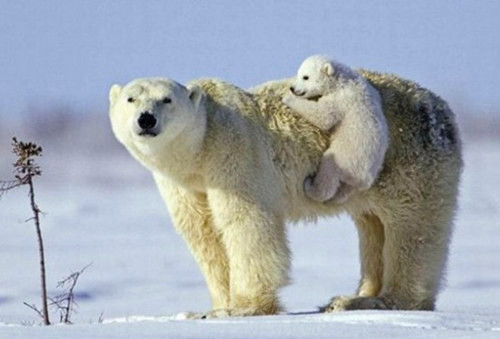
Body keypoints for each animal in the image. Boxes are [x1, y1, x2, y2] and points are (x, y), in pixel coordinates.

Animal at [108, 70, 460, 318]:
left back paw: (386, 300)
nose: (146, 119)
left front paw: (244, 307)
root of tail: (442, 107)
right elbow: (204, 234)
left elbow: (246, 224)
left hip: (407, 158)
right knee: (372, 225)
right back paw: (351, 298)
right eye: (131, 99)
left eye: (167, 99)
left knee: (411, 228)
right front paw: (211, 308)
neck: (199, 149)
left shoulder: (234, 153)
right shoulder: (184, 185)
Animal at [284, 55, 388, 202]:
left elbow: (324, 115)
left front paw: (287, 99)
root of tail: (365, 179)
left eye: (305, 77)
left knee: (329, 169)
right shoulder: (370, 88)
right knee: (345, 190)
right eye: (298, 73)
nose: (292, 88)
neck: (341, 81)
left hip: (346, 158)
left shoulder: (341, 98)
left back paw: (310, 186)